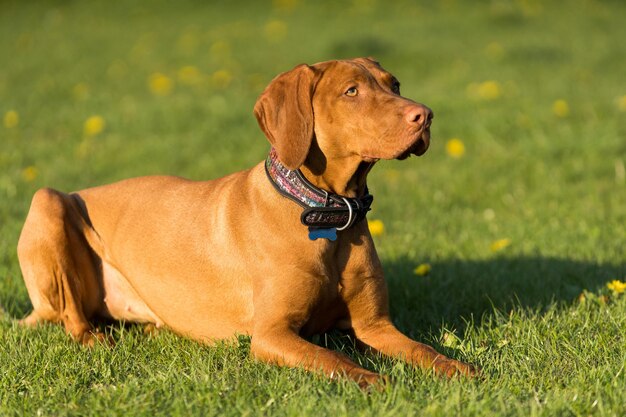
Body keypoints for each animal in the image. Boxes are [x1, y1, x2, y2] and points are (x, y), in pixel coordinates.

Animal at [17, 57, 476, 386]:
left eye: (394, 84)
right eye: (351, 91)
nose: (426, 115)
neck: (328, 212)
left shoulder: (375, 326)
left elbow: (425, 352)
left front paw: (462, 370)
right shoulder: (272, 335)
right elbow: (334, 359)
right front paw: (376, 381)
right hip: (49, 202)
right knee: (73, 317)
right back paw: (97, 340)